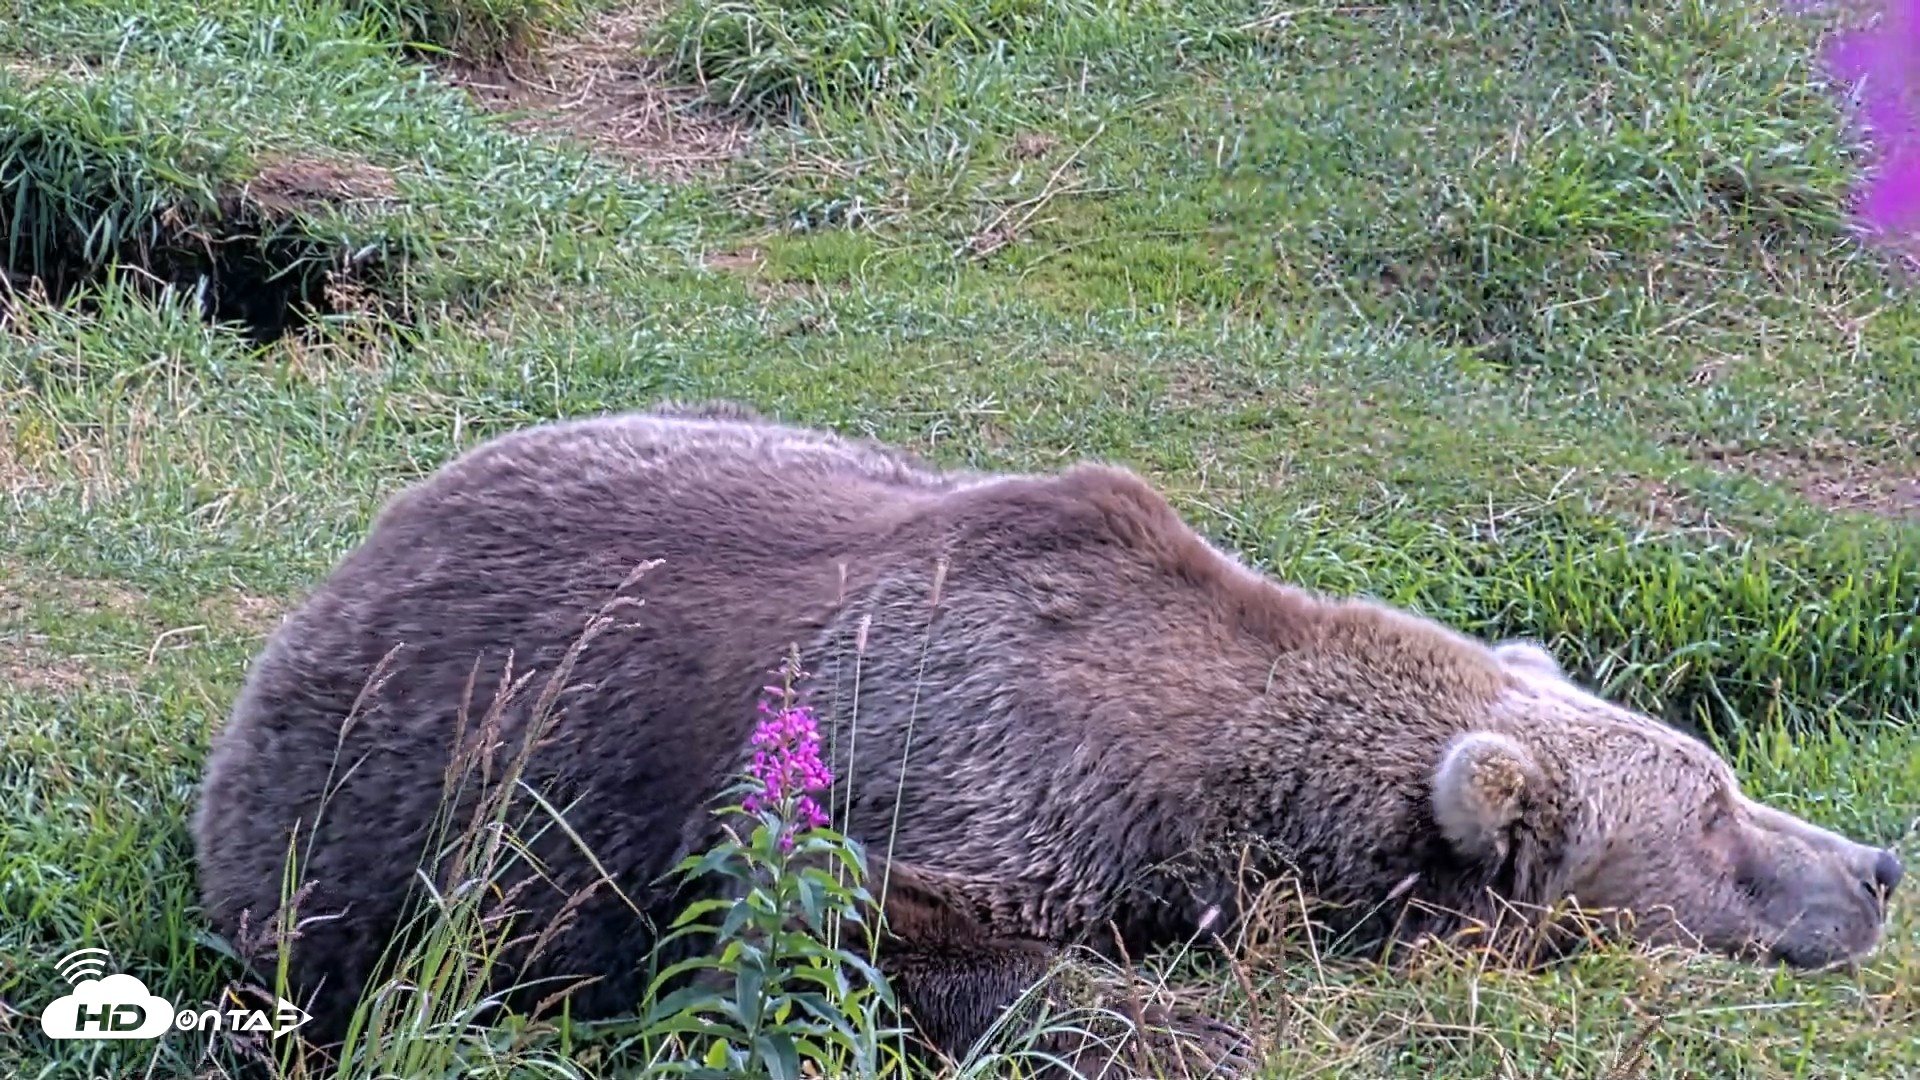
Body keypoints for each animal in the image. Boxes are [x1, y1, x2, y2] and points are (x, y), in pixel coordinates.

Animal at [192, 401, 1905, 1075]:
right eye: (1714, 816)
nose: (1879, 864)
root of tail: (360, 556)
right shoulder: (942, 757)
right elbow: (867, 930)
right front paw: (1186, 1029)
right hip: (369, 825)